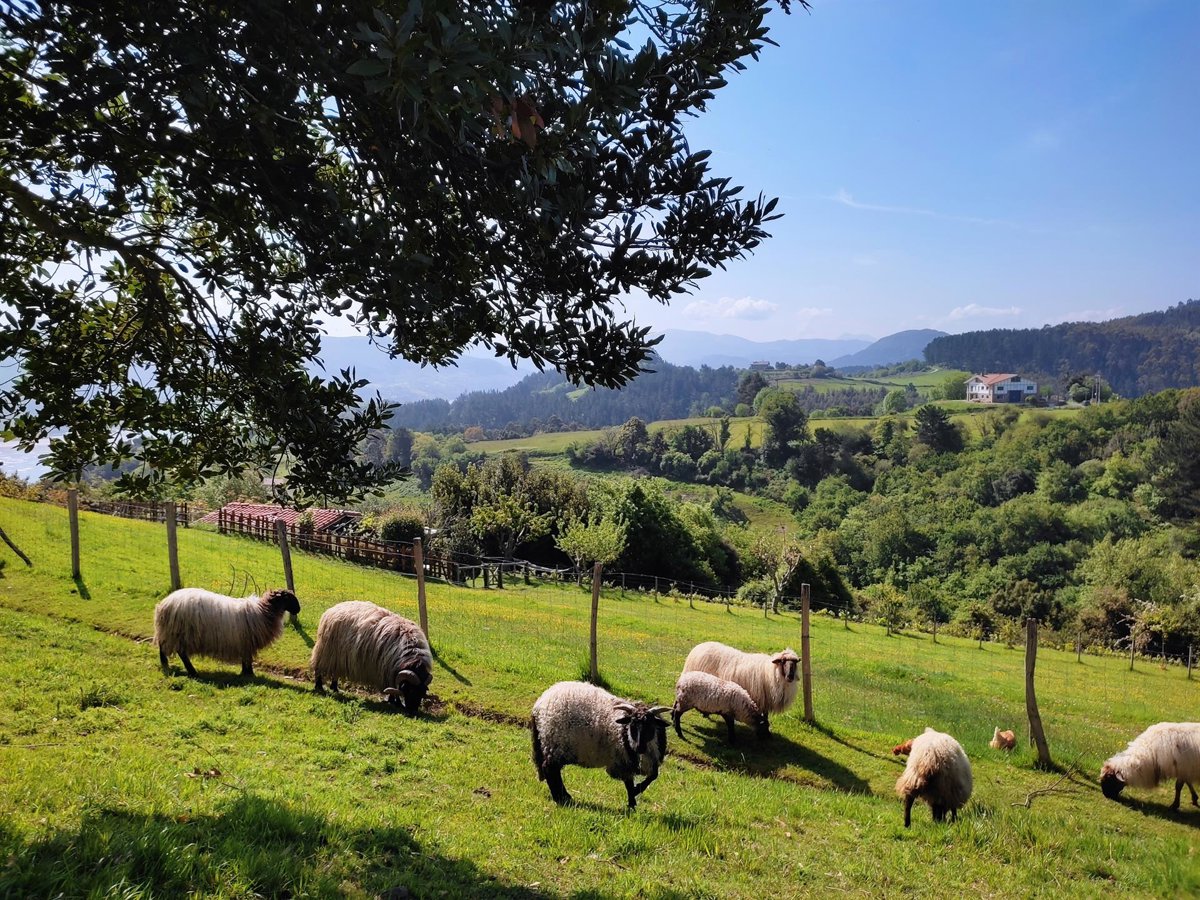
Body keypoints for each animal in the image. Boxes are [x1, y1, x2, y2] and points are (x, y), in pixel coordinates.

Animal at [154, 587, 300, 677]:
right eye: (290, 598)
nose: (298, 609)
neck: (263, 612)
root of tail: (165, 604)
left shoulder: (244, 643)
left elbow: (246, 658)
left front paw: (245, 673)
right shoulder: (246, 642)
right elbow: (247, 658)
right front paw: (249, 673)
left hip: (174, 633)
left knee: (167, 647)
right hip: (180, 633)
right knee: (179, 652)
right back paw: (189, 670)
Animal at [530, 681, 670, 809]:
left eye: (650, 726)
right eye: (632, 725)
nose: (639, 747)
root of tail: (539, 705)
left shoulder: (641, 761)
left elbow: (652, 776)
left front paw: (634, 799)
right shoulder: (623, 760)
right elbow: (630, 783)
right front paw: (633, 801)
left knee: (553, 770)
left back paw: (565, 796)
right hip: (555, 743)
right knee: (550, 769)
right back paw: (560, 798)